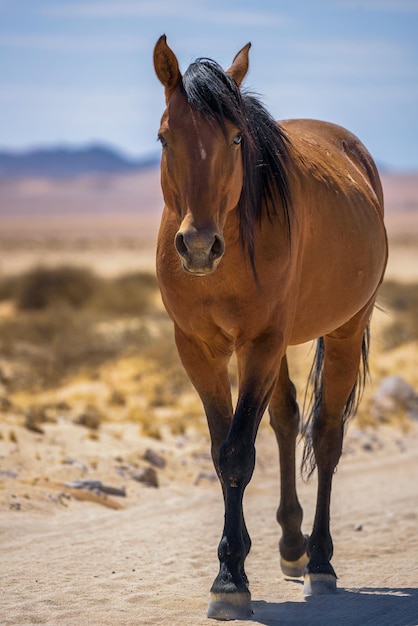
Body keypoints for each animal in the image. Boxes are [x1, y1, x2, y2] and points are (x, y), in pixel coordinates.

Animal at [153, 35, 388, 620]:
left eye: (236, 137)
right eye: (165, 137)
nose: (198, 246)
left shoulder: (258, 343)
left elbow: (238, 453)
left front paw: (229, 580)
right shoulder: (199, 348)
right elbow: (223, 451)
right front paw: (233, 566)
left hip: (345, 328)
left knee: (325, 436)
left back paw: (320, 563)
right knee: (285, 418)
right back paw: (292, 546)